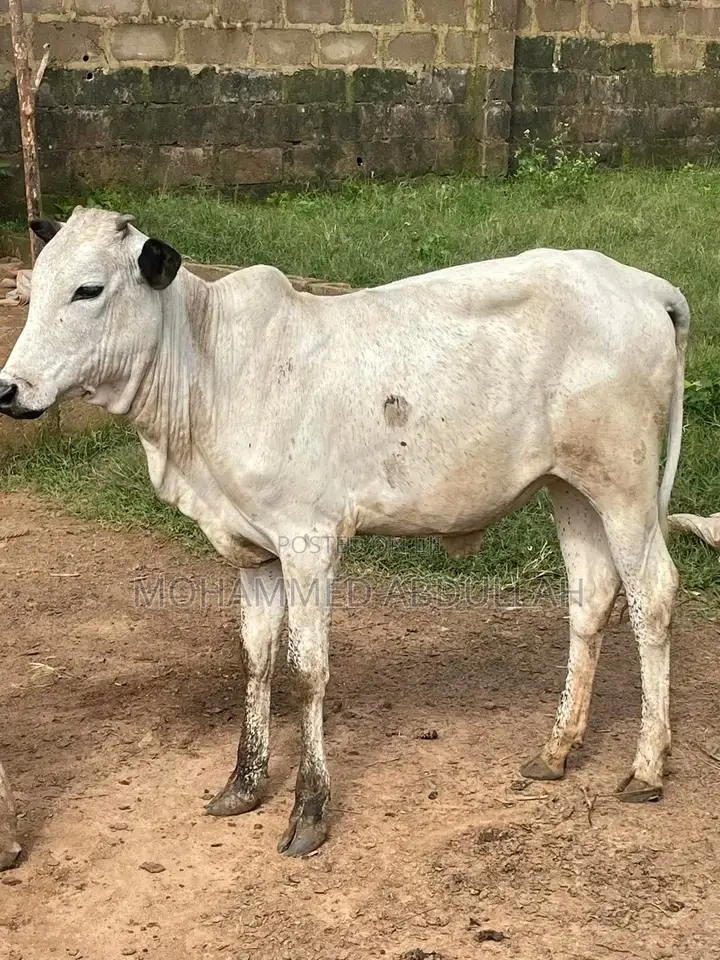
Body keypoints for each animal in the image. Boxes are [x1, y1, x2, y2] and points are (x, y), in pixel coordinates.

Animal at [0, 207, 689, 859]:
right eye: (36, 290)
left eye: (88, 289)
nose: (8, 389)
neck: (209, 367)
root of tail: (644, 284)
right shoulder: (253, 553)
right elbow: (256, 659)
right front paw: (243, 785)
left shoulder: (309, 543)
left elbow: (307, 671)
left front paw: (309, 810)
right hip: (569, 485)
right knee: (591, 596)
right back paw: (556, 750)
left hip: (624, 482)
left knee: (653, 593)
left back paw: (647, 767)